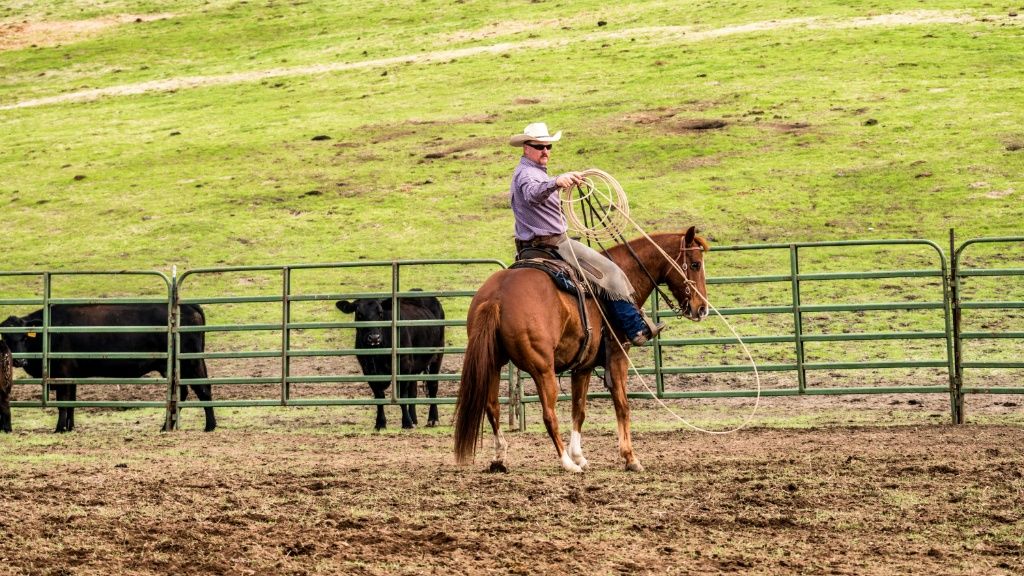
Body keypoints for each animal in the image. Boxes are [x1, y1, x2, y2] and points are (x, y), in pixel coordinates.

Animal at [0, 305, 216, 430]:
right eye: (6, 338)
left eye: (24, 337)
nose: (20, 361)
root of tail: (188, 306)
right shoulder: (71, 376)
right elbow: (70, 402)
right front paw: (69, 427)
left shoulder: (62, 373)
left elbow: (63, 402)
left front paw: (60, 428)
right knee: (184, 391)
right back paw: (169, 426)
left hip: (191, 361)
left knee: (203, 389)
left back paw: (209, 426)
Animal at [335, 295, 444, 426]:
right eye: (359, 314)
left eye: (380, 313)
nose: (374, 338)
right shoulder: (368, 370)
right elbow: (379, 395)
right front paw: (380, 423)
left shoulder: (404, 366)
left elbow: (402, 394)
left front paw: (406, 422)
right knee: (413, 391)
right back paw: (414, 419)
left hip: (437, 355)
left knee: (433, 386)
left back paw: (433, 419)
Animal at [458, 225, 712, 471]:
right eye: (695, 264)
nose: (702, 309)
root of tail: (497, 297)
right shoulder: (617, 356)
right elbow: (622, 405)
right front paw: (630, 458)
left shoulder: (583, 366)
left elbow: (578, 410)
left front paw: (580, 455)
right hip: (542, 369)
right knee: (548, 415)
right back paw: (567, 464)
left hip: (492, 364)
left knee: (492, 407)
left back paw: (500, 458)